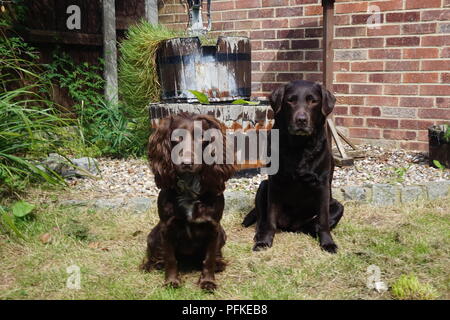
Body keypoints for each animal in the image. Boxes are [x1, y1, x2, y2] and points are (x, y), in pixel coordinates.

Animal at [142, 113, 236, 292]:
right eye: (176, 138)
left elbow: (209, 259)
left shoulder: (213, 228)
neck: (189, 187)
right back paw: (155, 263)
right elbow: (171, 258)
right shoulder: (167, 227)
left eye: (202, 138)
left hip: (223, 234)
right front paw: (171, 281)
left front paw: (208, 282)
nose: (186, 163)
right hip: (152, 235)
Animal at [243, 79, 344, 252]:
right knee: (262, 218)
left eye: (313, 101)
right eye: (290, 100)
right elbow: (270, 218)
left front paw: (327, 243)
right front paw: (264, 241)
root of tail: (292, 226)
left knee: (316, 223)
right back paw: (260, 234)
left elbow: (323, 220)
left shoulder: (322, 184)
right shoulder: (274, 183)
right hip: (263, 186)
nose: (301, 120)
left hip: (337, 205)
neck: (299, 146)